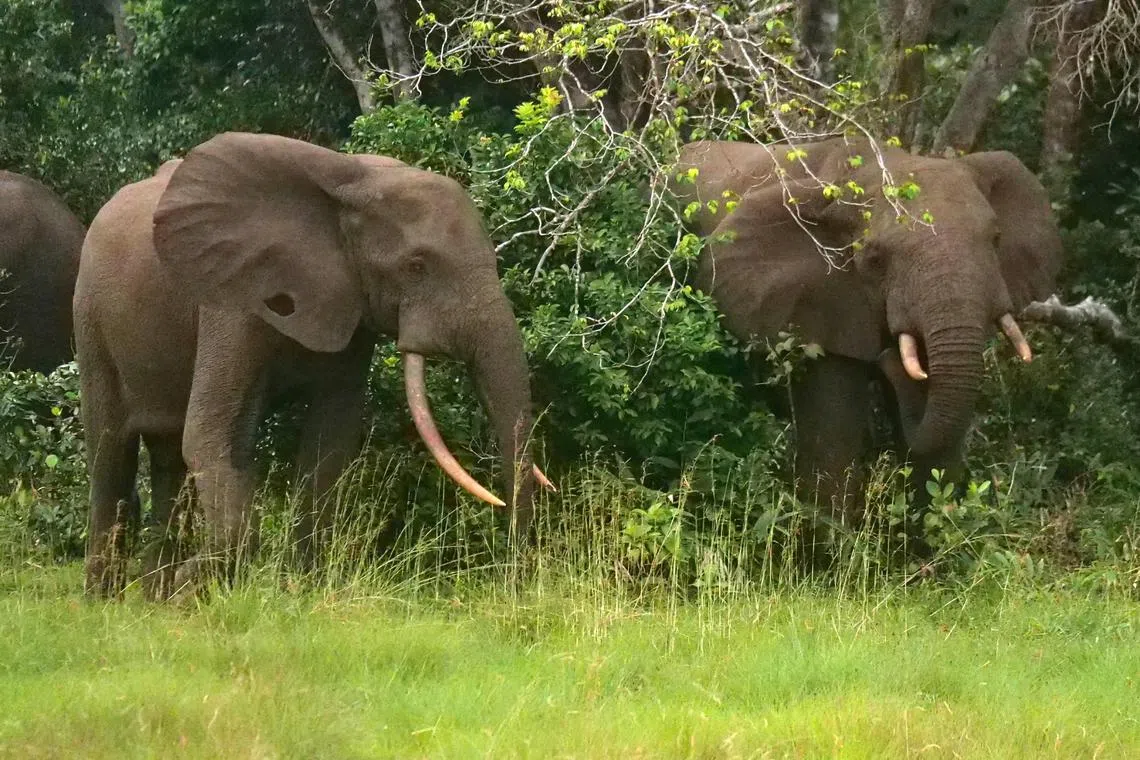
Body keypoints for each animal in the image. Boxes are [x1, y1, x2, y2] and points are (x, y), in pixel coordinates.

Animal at [75, 133, 549, 599]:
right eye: (416, 266)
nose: (514, 586)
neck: (355, 184)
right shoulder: (231, 300)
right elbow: (211, 434)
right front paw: (193, 584)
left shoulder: (351, 307)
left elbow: (330, 441)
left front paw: (300, 591)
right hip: (90, 318)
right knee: (111, 453)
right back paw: (105, 599)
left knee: (169, 459)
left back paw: (152, 600)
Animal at [672, 137, 1061, 540]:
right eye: (875, 257)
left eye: (995, 240)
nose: (887, 357)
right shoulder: (821, 300)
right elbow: (834, 437)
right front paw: (830, 552)